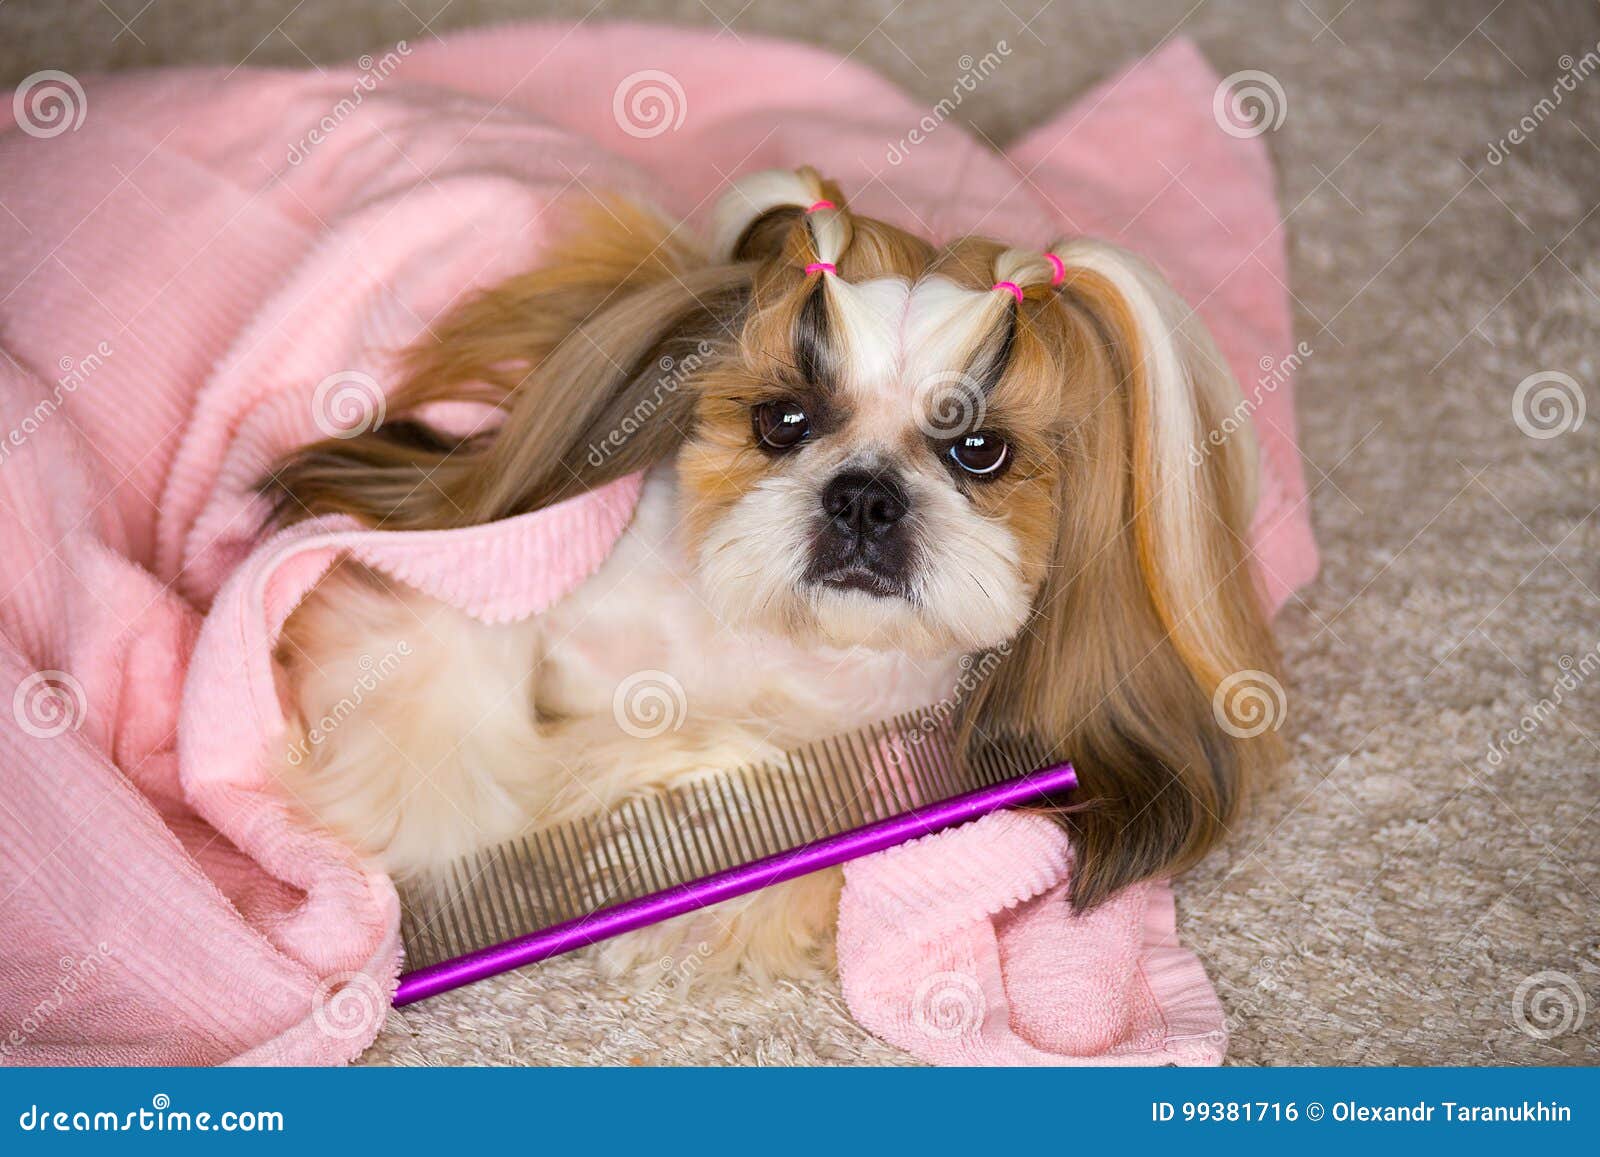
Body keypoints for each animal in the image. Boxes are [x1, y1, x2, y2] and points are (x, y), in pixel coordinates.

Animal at [268, 163, 1280, 979]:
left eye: (981, 449)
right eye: (782, 420)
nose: (865, 496)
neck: (757, 645)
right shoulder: (506, 574)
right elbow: (449, 682)